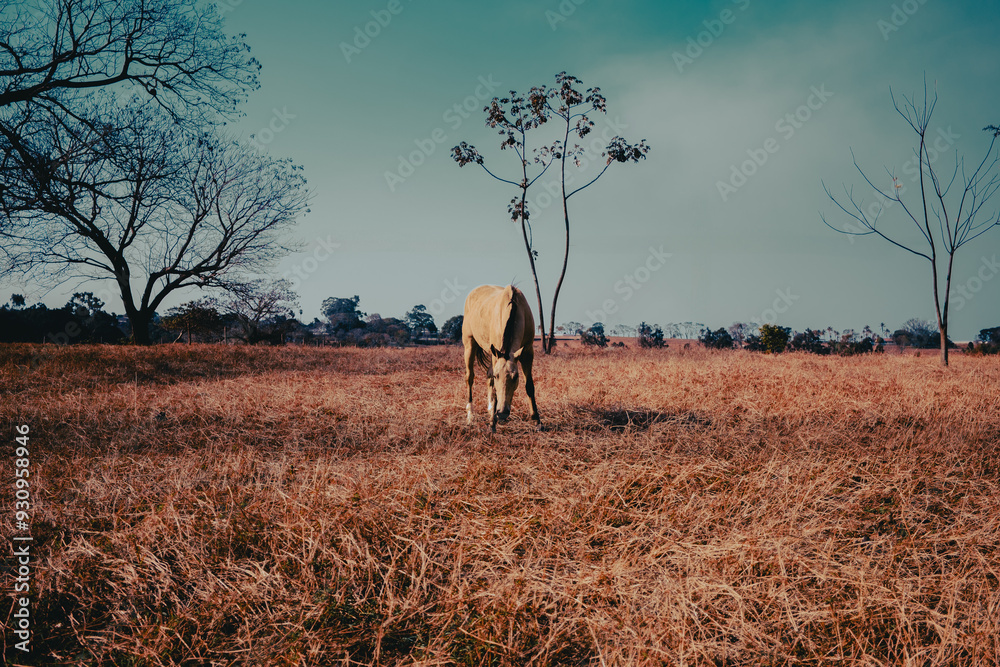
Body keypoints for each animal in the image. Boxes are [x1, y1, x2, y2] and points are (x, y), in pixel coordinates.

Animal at [462, 285, 541, 432]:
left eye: (515, 377)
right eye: (497, 376)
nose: (502, 413)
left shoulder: (527, 352)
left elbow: (529, 385)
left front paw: (537, 420)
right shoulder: (496, 355)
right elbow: (493, 386)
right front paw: (492, 423)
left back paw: (490, 409)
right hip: (469, 345)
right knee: (470, 377)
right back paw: (470, 416)